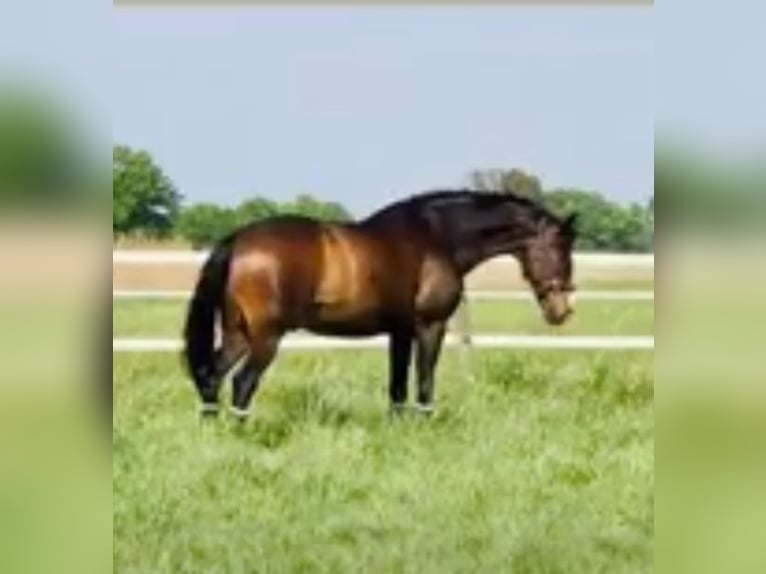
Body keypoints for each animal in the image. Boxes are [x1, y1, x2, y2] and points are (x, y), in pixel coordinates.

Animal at [182, 189, 578, 421]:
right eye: (561, 248)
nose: (561, 311)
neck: (437, 237)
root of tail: (238, 240)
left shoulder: (400, 332)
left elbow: (397, 388)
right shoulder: (430, 326)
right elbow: (424, 381)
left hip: (238, 333)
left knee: (211, 376)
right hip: (266, 337)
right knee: (243, 382)